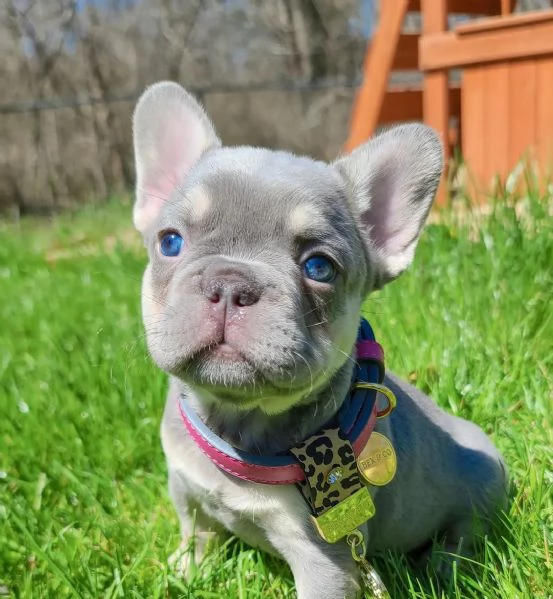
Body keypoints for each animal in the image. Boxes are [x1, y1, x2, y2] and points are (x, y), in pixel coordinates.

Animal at [132, 81, 506, 599]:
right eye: (170, 242)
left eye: (319, 267)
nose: (230, 283)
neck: (235, 421)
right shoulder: (184, 486)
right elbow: (196, 530)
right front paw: (185, 570)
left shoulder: (325, 558)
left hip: (482, 489)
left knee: (466, 533)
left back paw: (444, 565)